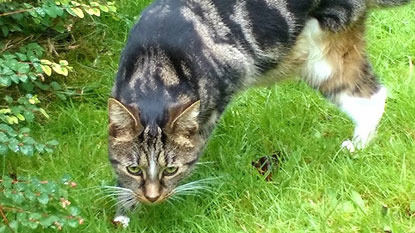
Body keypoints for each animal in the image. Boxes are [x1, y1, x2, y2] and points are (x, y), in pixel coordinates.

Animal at [108, 0, 412, 227]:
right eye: (134, 168)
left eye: (171, 169)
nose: (152, 197)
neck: (155, 68)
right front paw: (124, 211)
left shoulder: (221, 90)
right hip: (322, 61)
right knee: (372, 96)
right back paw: (357, 146)